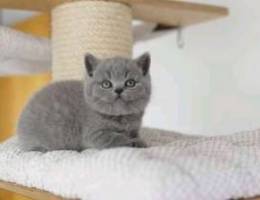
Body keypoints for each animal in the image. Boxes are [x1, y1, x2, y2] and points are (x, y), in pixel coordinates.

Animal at [17, 53, 151, 152]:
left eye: (130, 83)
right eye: (106, 84)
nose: (118, 90)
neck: (122, 118)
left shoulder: (134, 128)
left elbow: (134, 134)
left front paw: (139, 140)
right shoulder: (93, 134)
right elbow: (117, 138)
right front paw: (134, 142)